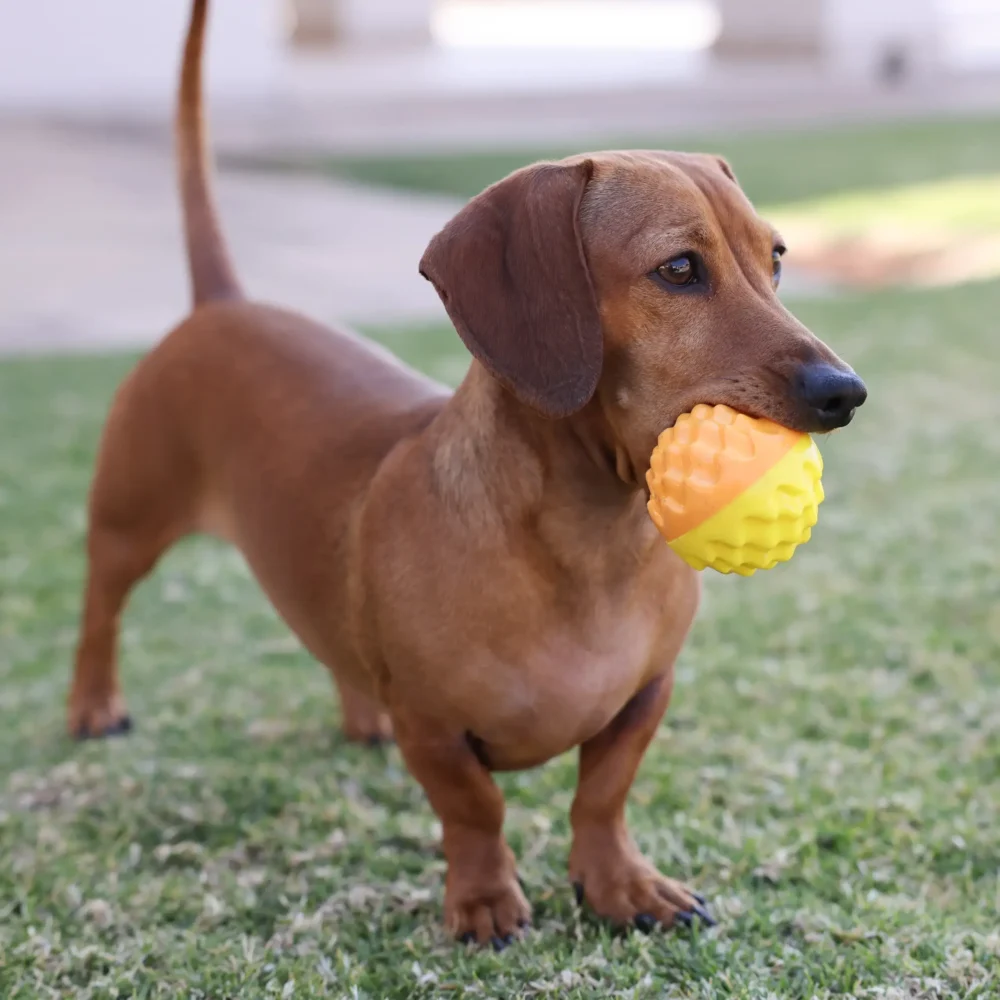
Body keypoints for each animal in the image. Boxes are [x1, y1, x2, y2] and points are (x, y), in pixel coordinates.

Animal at [70, 0, 868, 944]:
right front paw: (485, 899)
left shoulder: (646, 696)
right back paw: (93, 707)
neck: (592, 542)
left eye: (775, 256)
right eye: (679, 269)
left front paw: (622, 884)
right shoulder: (434, 727)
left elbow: (603, 796)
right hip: (129, 520)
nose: (845, 392)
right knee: (101, 609)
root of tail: (224, 304)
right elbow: (474, 809)